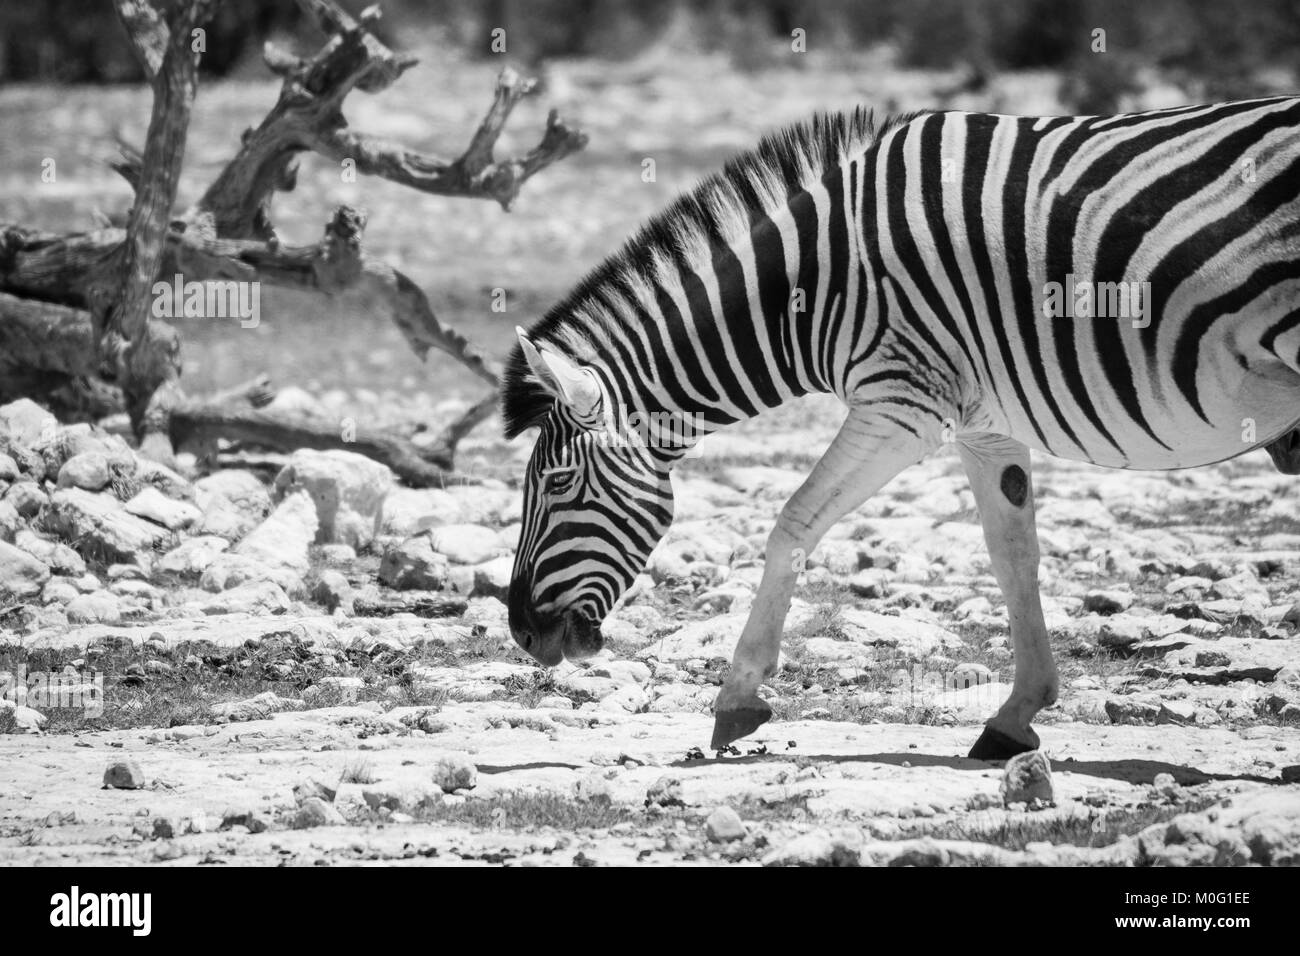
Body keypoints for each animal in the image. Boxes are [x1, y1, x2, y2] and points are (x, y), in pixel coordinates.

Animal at [503, 95, 1300, 760]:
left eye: (558, 482)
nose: (522, 633)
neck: (816, 285)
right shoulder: (985, 420)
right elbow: (1012, 553)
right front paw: (1017, 715)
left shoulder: (902, 402)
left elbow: (793, 523)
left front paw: (738, 698)